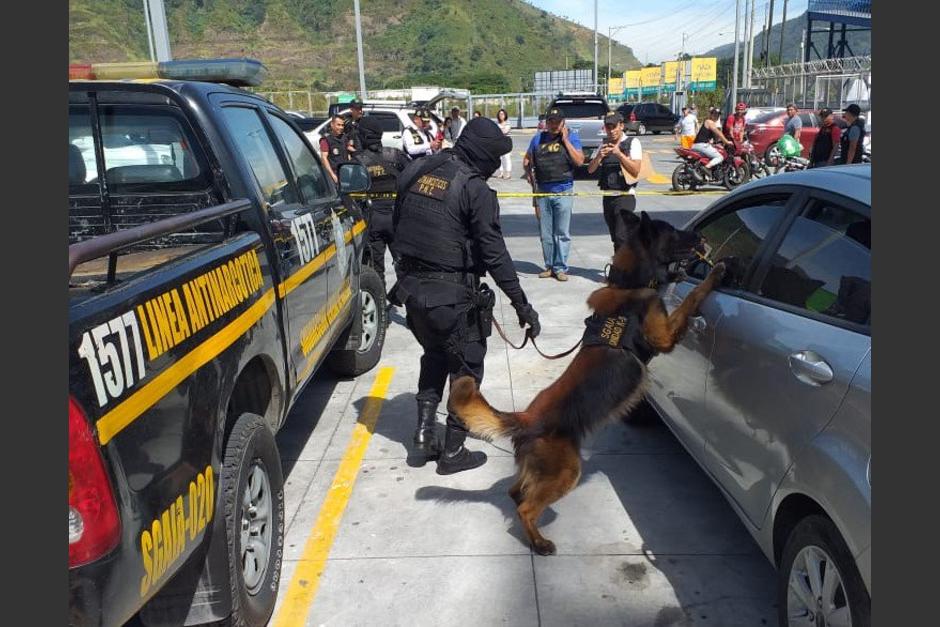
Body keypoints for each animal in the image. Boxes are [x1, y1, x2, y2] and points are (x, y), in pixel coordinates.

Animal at [448, 213, 728, 556]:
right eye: (674, 233)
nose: (702, 236)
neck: (630, 282)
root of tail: (526, 419)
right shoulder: (663, 335)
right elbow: (691, 297)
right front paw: (715, 273)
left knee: (517, 492)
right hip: (567, 472)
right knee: (526, 507)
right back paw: (539, 542)